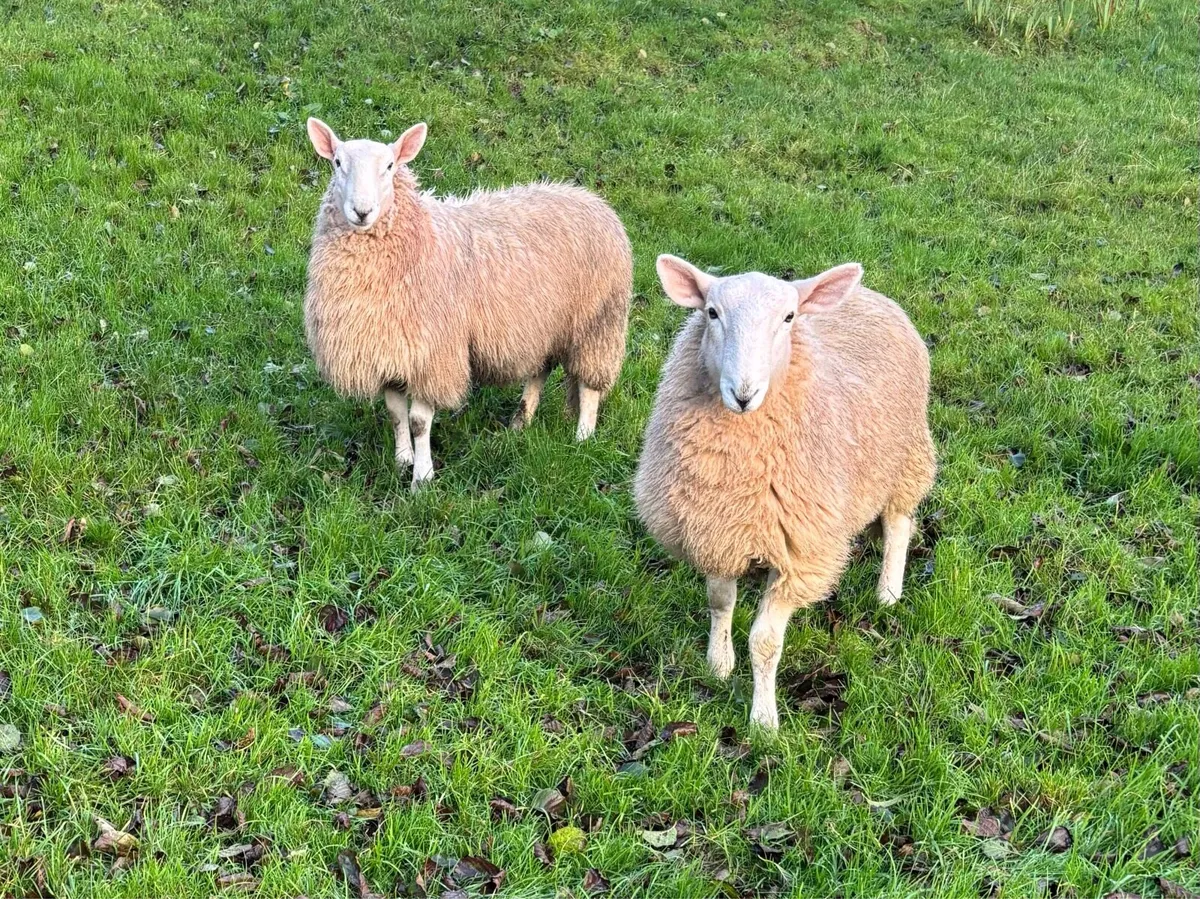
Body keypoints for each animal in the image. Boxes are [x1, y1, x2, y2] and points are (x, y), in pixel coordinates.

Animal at [303, 118, 632, 489]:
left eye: (389, 166)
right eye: (337, 163)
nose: (362, 211)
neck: (418, 238)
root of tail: (590, 197)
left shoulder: (434, 355)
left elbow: (418, 421)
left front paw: (421, 478)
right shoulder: (391, 351)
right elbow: (396, 414)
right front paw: (402, 461)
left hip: (599, 320)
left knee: (590, 385)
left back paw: (582, 437)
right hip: (544, 324)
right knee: (540, 370)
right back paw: (521, 421)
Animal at [633, 254, 936, 729]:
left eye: (789, 317)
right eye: (712, 313)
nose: (743, 394)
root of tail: (869, 294)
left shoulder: (800, 555)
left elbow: (765, 642)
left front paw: (763, 721)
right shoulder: (715, 532)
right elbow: (719, 603)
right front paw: (719, 665)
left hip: (905, 460)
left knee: (898, 525)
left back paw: (888, 593)